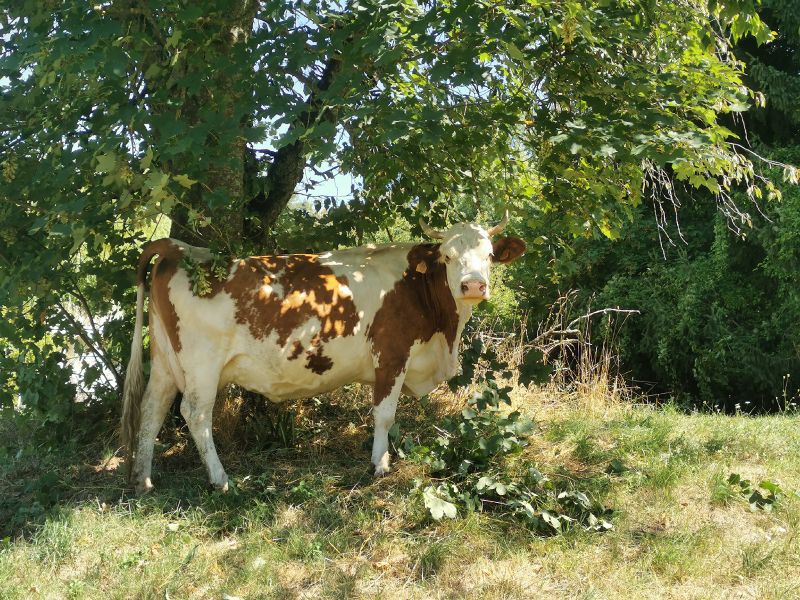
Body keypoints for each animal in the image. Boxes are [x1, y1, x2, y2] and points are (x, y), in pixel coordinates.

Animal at [121, 212, 526, 494]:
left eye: (490, 255)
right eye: (447, 256)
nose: (473, 285)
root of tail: (180, 248)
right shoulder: (392, 354)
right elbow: (384, 414)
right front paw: (380, 463)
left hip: (164, 361)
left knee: (152, 409)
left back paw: (143, 479)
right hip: (202, 363)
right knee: (195, 413)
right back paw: (221, 480)